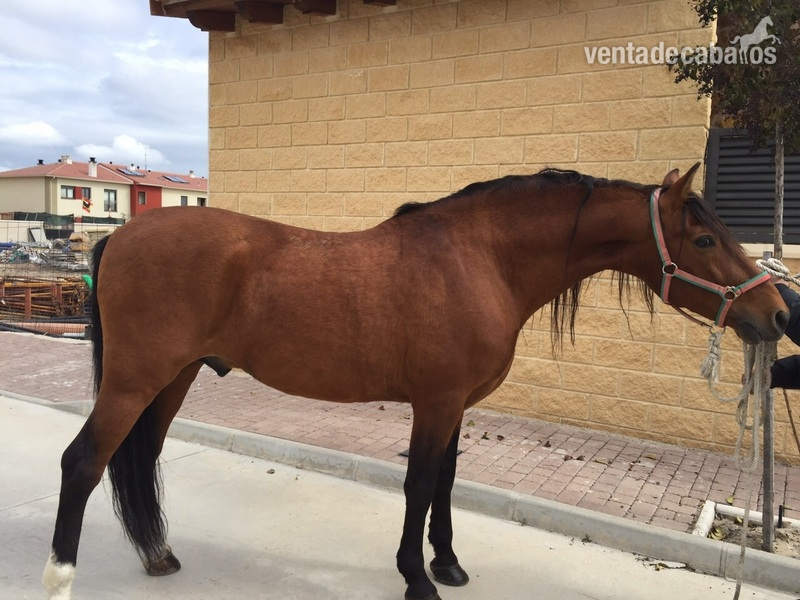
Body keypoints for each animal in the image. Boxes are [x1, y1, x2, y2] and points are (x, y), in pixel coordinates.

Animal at [43, 163, 788, 600]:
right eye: (703, 241)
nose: (779, 313)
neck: (481, 259)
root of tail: (118, 237)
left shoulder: (455, 405)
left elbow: (447, 484)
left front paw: (447, 565)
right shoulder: (435, 402)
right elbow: (421, 484)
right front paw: (416, 579)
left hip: (171, 379)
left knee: (139, 456)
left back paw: (158, 556)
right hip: (135, 381)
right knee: (82, 462)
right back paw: (60, 576)